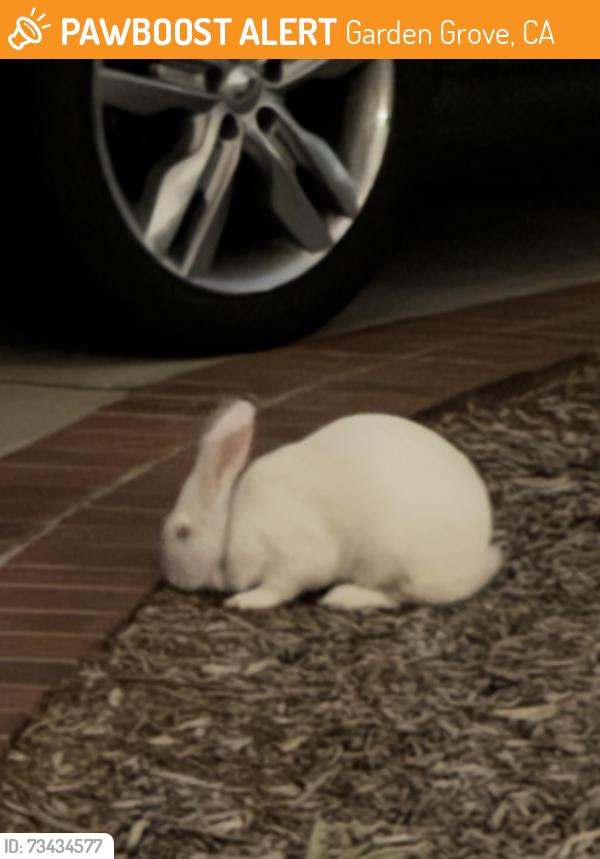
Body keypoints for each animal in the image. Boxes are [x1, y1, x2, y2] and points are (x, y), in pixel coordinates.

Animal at [161, 399, 502, 611]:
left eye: (182, 532)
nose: (173, 580)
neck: (233, 525)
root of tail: (472, 558)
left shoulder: (297, 557)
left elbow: (280, 586)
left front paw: (247, 601)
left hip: (387, 558)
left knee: (396, 596)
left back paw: (343, 597)